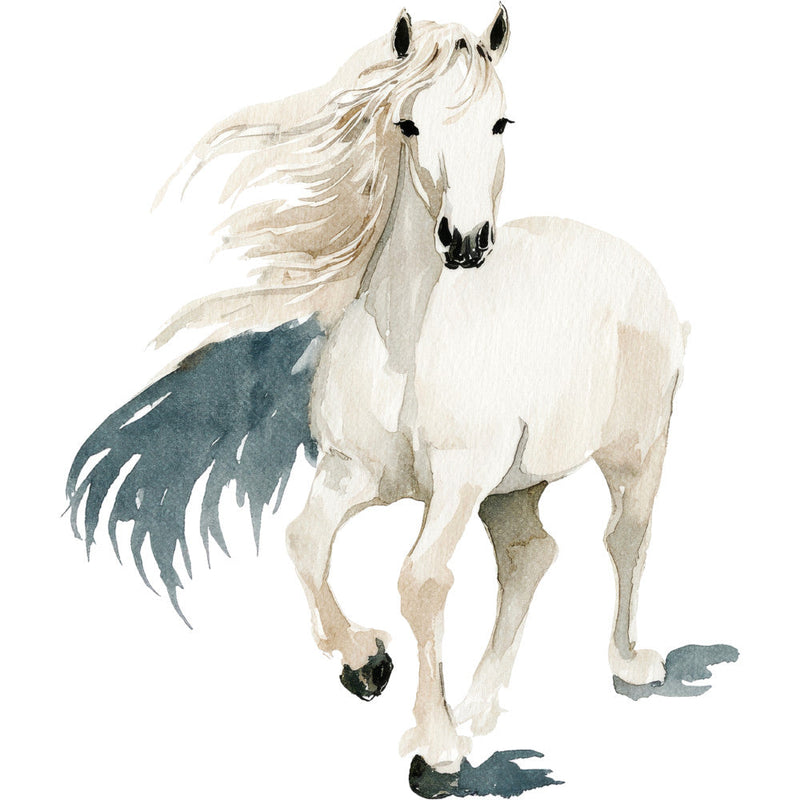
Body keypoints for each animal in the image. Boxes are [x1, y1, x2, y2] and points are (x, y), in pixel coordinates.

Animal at [67, 7, 690, 796]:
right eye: (408, 123)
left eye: (501, 121)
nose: (465, 242)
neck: (409, 340)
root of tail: (634, 264)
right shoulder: (354, 472)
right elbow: (305, 543)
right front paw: (367, 664)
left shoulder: (456, 481)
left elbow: (422, 582)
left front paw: (435, 754)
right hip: (512, 486)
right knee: (529, 556)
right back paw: (480, 706)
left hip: (634, 448)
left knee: (625, 537)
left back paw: (628, 666)